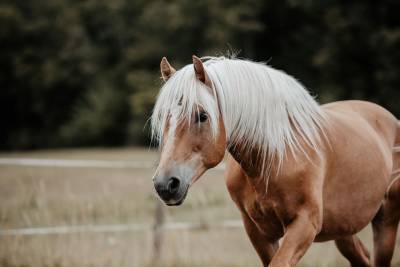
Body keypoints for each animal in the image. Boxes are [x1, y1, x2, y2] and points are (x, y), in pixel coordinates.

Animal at [151, 55, 400, 267]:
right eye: (163, 117)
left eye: (202, 116)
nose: (165, 184)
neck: (273, 159)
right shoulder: (258, 232)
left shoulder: (304, 224)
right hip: (344, 228)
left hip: (385, 221)